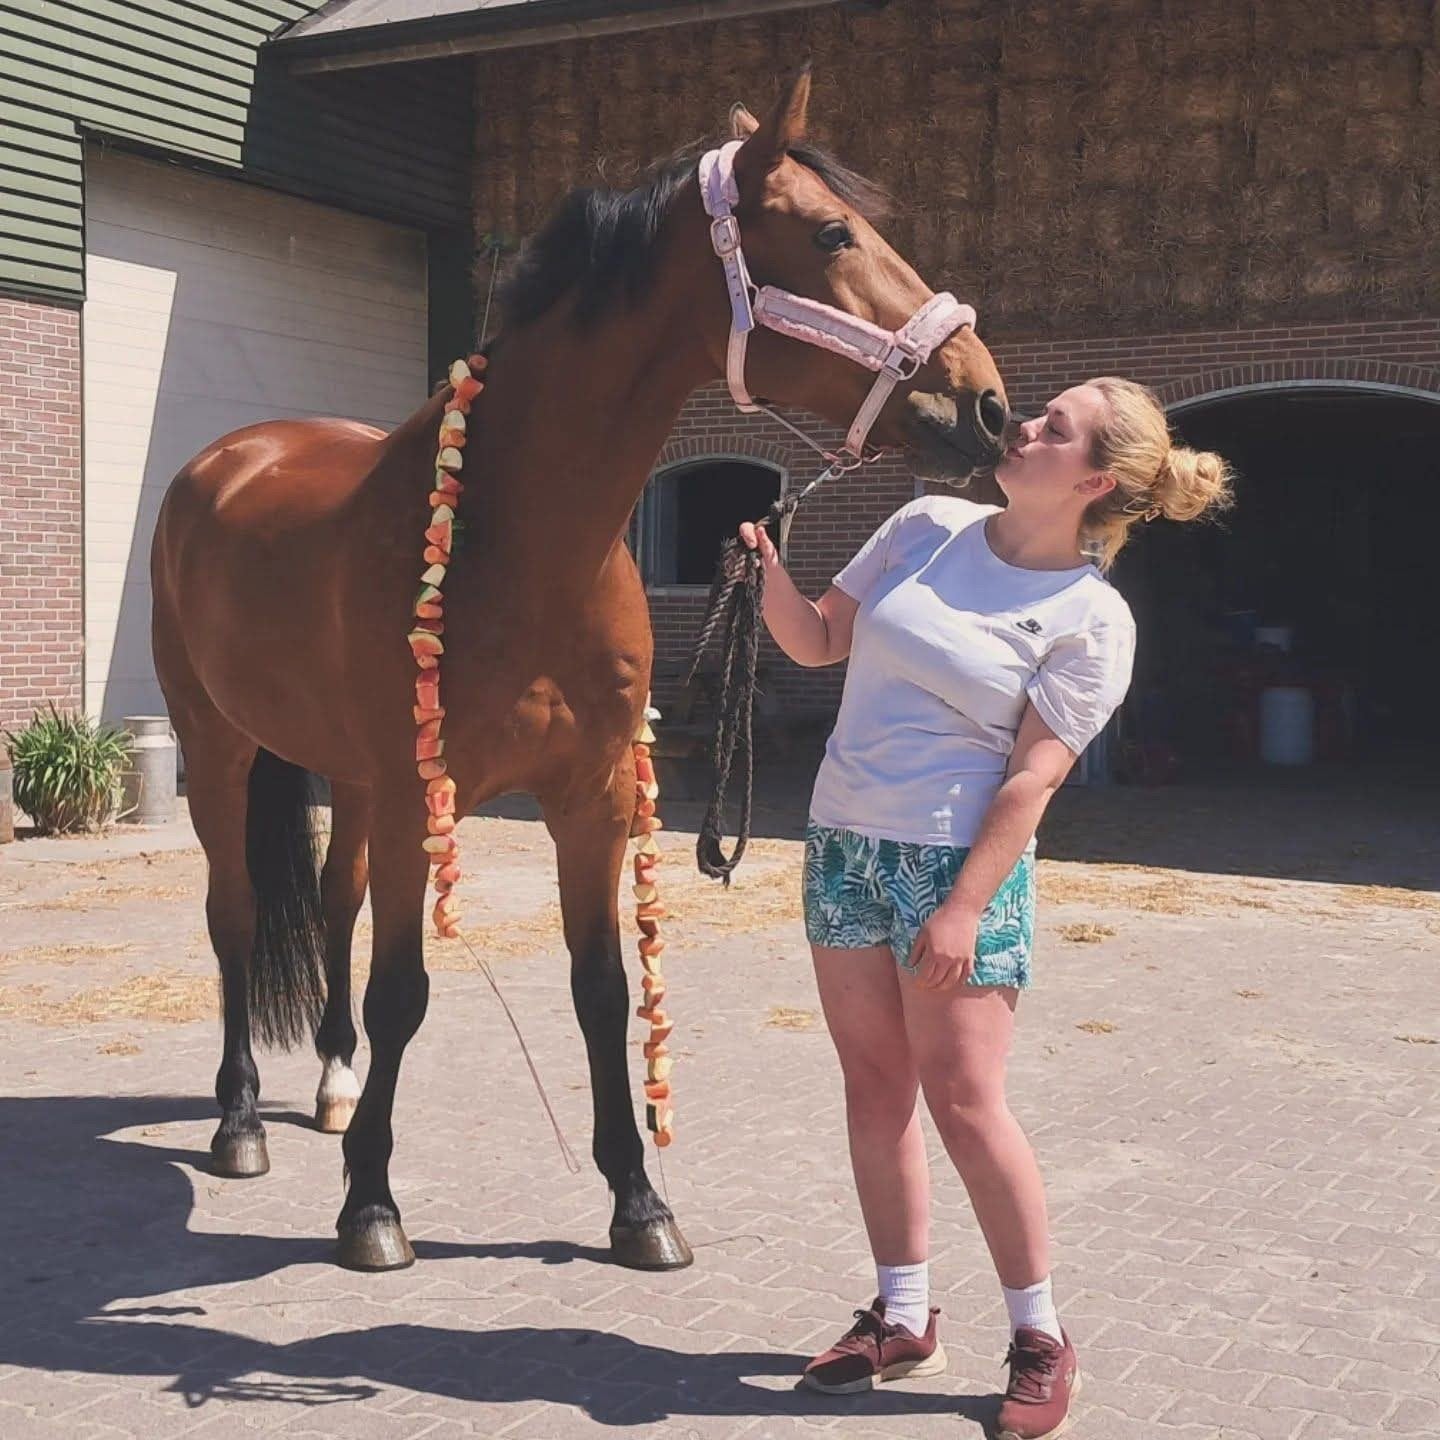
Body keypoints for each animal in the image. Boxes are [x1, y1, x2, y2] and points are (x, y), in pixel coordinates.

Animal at [150, 68, 1009, 1275]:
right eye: (833, 232)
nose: (987, 404)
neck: (519, 535)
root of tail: (229, 458)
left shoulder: (591, 795)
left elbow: (602, 987)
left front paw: (637, 1201)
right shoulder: (423, 795)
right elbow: (407, 987)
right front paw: (373, 1205)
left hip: (350, 778)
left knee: (329, 903)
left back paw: (330, 1083)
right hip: (220, 745)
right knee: (233, 915)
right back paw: (237, 1121)